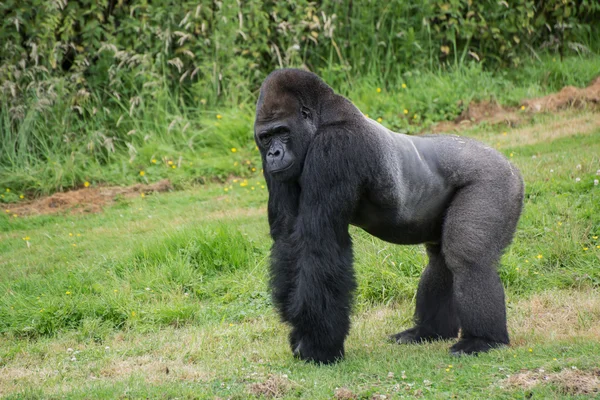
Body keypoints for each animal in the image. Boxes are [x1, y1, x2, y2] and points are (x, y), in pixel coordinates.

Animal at [254, 69, 524, 366]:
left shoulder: (335, 147)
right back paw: (429, 330)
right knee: (440, 261)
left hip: (495, 180)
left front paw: (318, 343)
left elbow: (319, 244)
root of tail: (510, 163)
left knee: (468, 259)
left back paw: (483, 339)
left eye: (282, 132)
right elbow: (289, 239)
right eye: (265, 137)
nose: (273, 154)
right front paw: (303, 335)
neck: (323, 117)